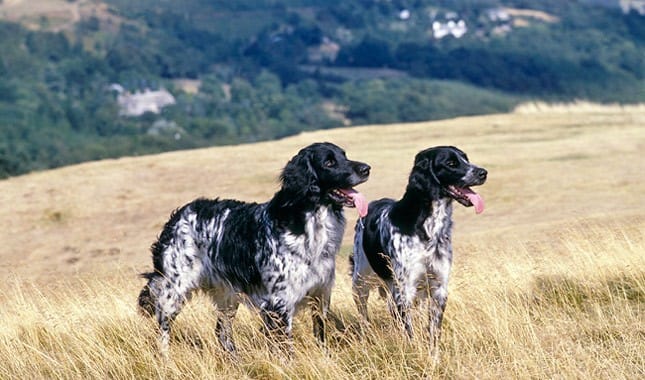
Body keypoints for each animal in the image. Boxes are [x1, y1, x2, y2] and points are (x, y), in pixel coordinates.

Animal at [138, 142, 370, 354]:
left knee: (222, 332)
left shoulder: (320, 296)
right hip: (173, 291)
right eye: (329, 163)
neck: (310, 223)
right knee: (163, 331)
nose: (366, 168)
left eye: (344, 155)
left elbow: (321, 338)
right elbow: (286, 351)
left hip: (227, 295)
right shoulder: (279, 305)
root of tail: (177, 216)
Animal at [350, 145, 486, 350]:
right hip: (361, 282)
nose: (483, 173)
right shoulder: (404, 291)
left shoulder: (438, 288)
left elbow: (433, 331)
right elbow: (410, 333)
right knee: (363, 315)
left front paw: (433, 355)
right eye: (451, 163)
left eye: (466, 159)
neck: (428, 229)